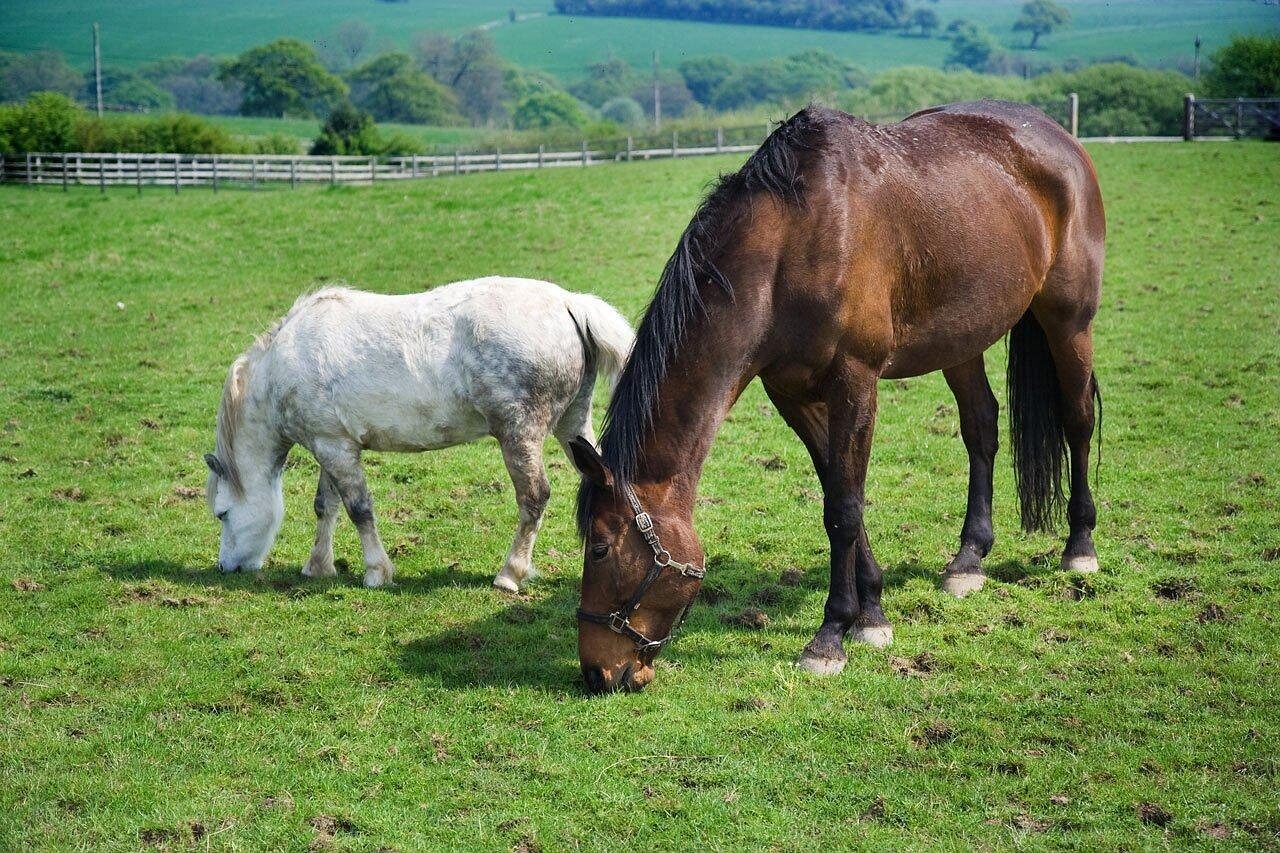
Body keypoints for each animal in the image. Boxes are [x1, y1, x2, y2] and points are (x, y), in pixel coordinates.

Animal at [204, 276, 634, 591]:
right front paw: (318, 566)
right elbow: (327, 506)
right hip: (573, 425)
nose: (227, 567)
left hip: (519, 434)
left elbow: (359, 509)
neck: (285, 363)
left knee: (534, 498)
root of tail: (569, 304)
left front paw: (376, 572)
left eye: (222, 513)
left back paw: (510, 574)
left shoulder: (336, 449)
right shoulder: (331, 444)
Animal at [571, 102, 1105, 693]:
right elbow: (837, 491)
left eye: (600, 547)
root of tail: (1057, 134)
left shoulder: (855, 381)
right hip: (961, 339)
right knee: (981, 428)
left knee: (1077, 419)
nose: (598, 672)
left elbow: (845, 509)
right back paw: (969, 560)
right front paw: (871, 613)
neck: (791, 244)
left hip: (1069, 320)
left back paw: (1080, 546)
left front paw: (830, 636)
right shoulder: (792, 394)